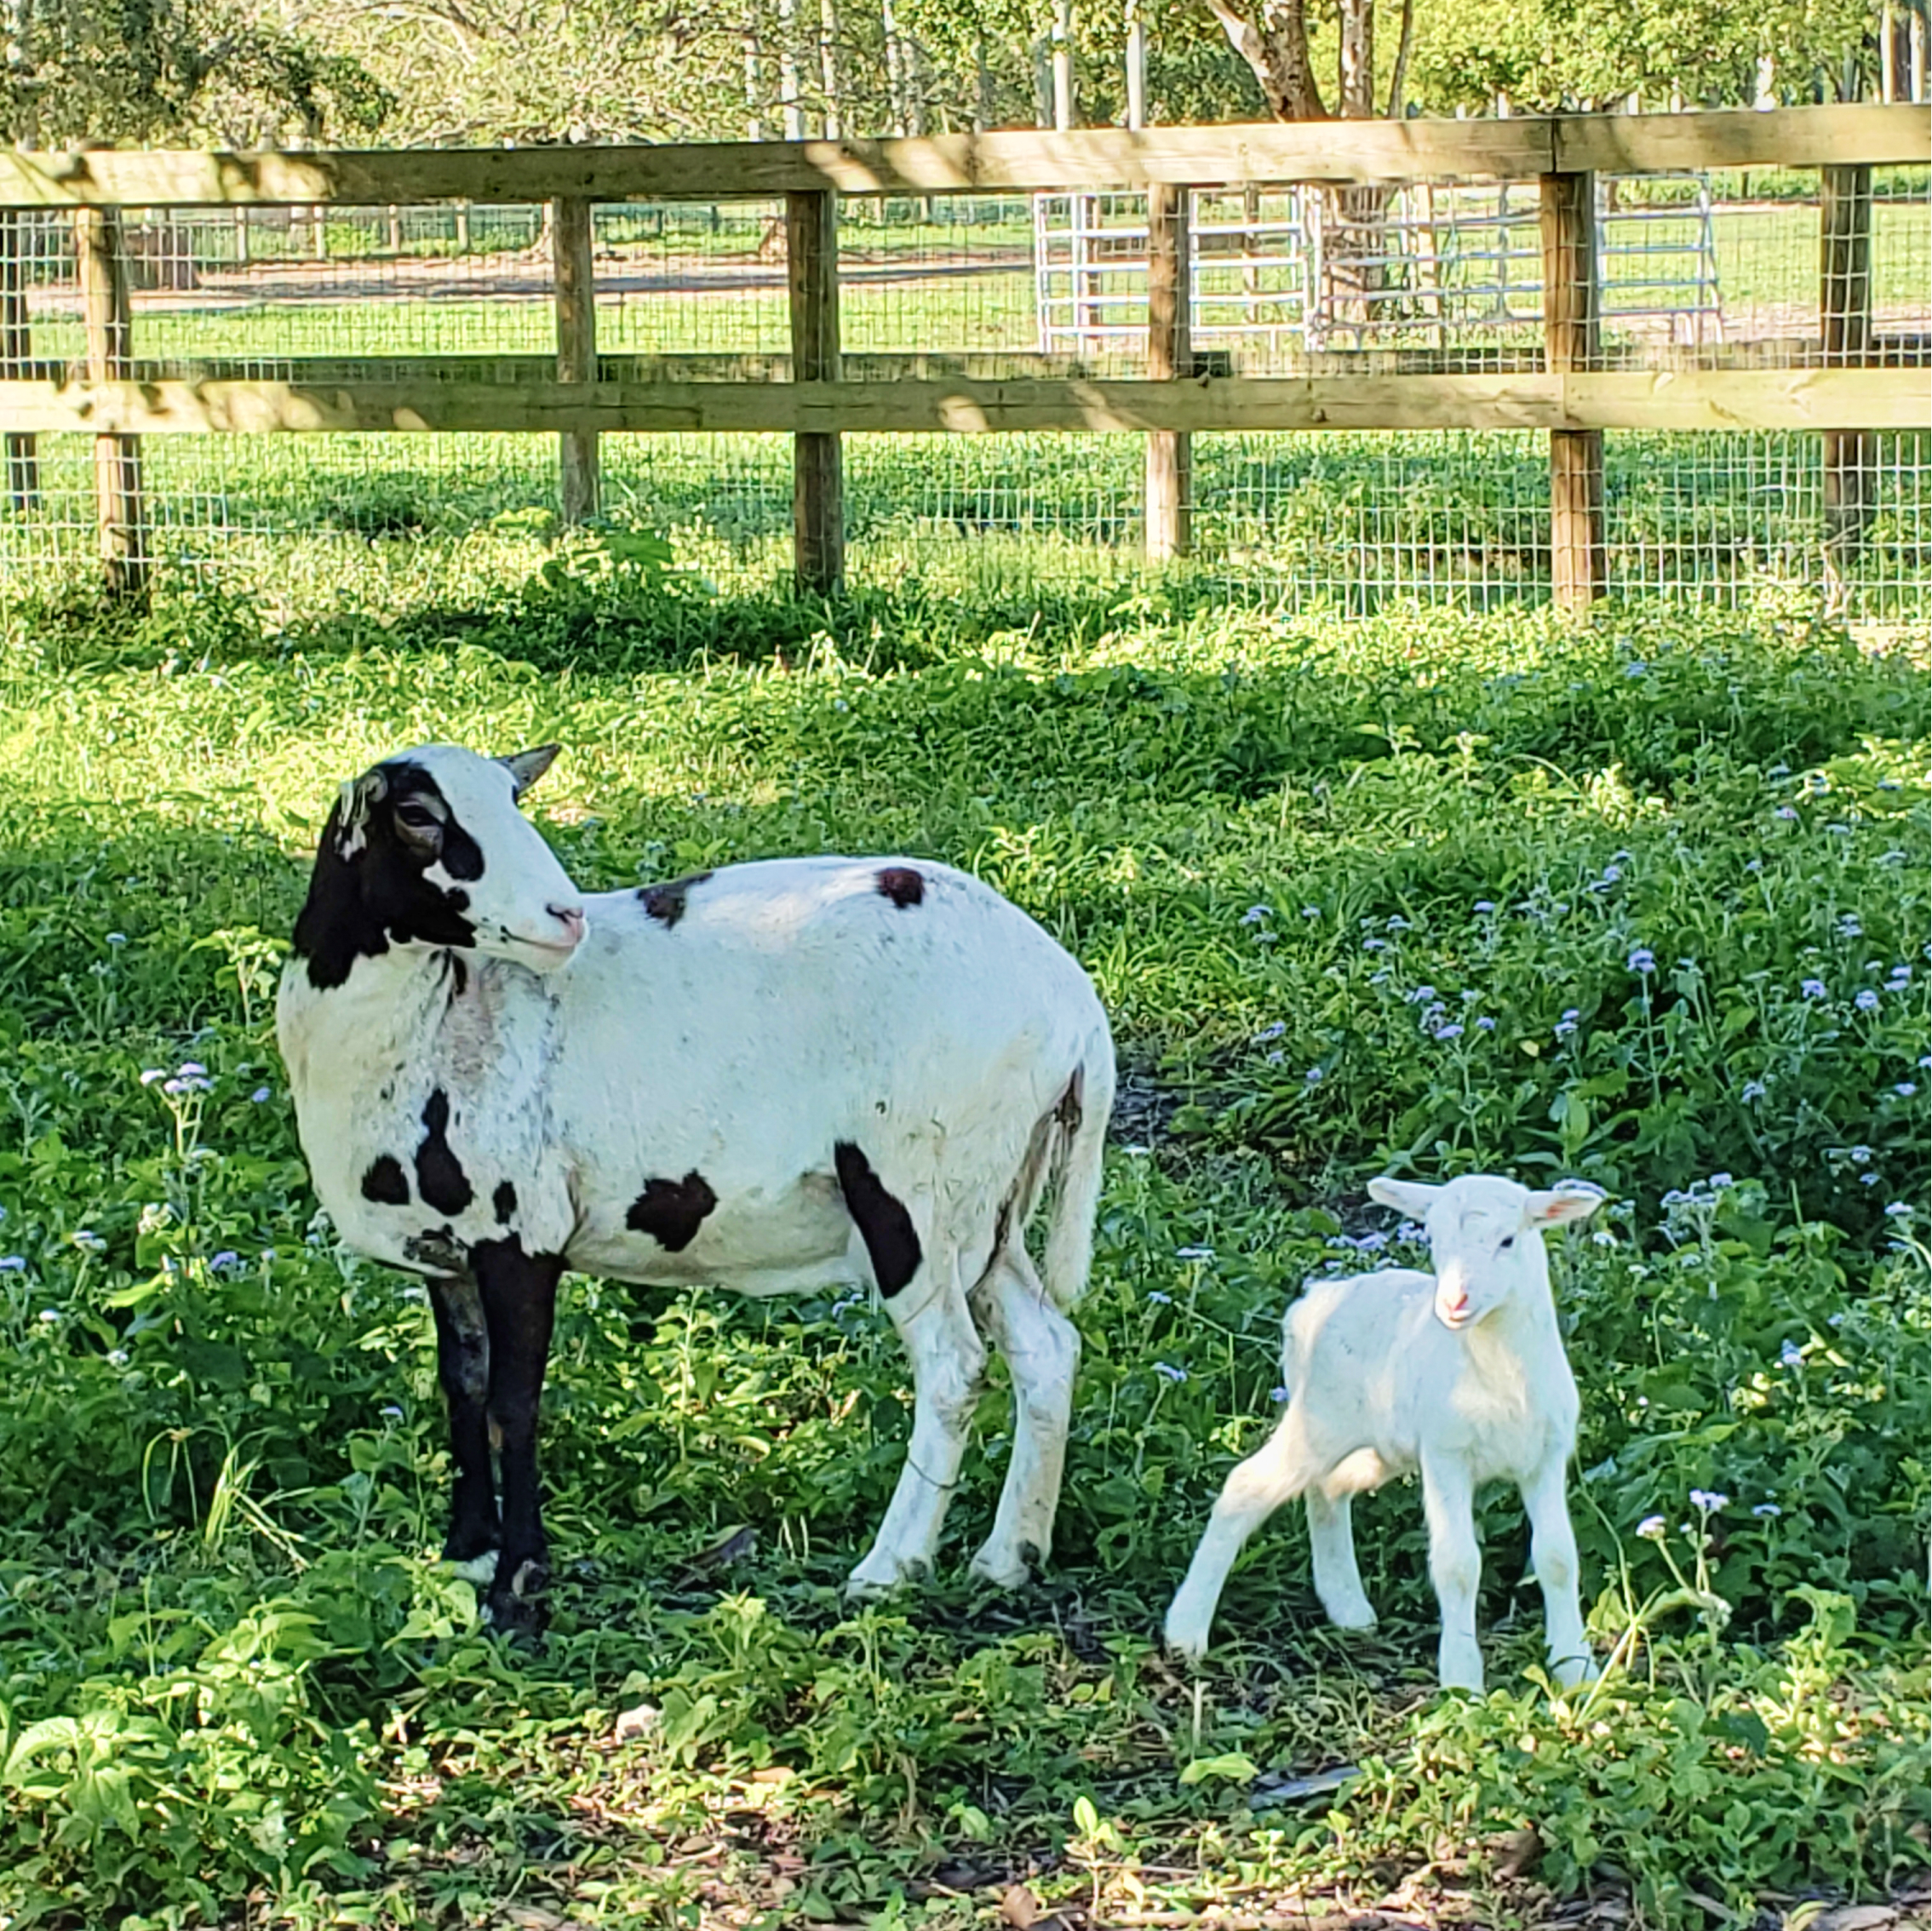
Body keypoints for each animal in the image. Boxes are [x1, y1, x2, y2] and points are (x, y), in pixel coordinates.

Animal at [276, 737, 1121, 1630]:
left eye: (513, 799)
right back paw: (1009, 1558)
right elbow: (463, 1391)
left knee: (954, 1367)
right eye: (417, 815)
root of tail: (1075, 1008)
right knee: (1044, 1345)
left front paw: (518, 1585)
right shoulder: (451, 1249)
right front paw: (464, 1558)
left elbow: (514, 1406)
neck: (434, 1022)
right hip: (988, 1196)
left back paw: (888, 1569)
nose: (565, 916)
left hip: (916, 1186)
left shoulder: (522, 1229)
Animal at [1167, 1166, 1607, 1683]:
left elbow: (1558, 1557)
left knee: (1328, 1487)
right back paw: (1186, 1630)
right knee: (1247, 1486)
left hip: (1379, 1446)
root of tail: (1312, 1302)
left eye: (1507, 1239)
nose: (1454, 1302)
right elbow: (1458, 1565)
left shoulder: (1546, 1454)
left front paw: (1576, 1667)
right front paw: (1462, 1681)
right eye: (1434, 1238)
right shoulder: (1445, 1453)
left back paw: (1346, 1606)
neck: (1499, 1376)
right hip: (1319, 1414)